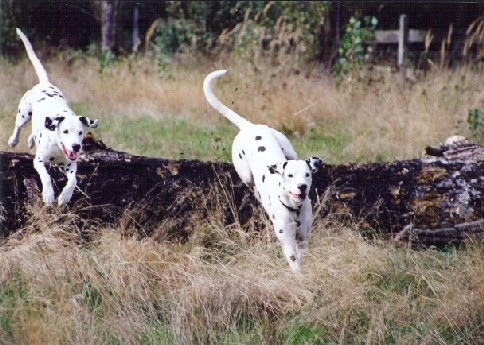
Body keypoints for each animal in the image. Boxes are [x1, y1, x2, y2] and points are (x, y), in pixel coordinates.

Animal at [7, 28, 98, 204]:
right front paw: (49, 196)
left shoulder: (71, 164)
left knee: (32, 132)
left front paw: (64, 196)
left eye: (80, 133)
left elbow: (73, 181)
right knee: (18, 127)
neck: (57, 147)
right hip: (24, 113)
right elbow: (46, 177)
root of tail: (45, 83)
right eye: (65, 131)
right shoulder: (39, 161)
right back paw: (13, 140)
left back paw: (30, 140)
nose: (76, 146)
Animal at [202, 68, 324, 270]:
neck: (294, 209)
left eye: (307, 175)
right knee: (252, 186)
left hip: (289, 149)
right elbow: (294, 263)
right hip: (245, 174)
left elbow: (302, 254)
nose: (302, 187)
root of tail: (249, 127)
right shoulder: (288, 243)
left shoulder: (302, 238)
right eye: (290, 175)